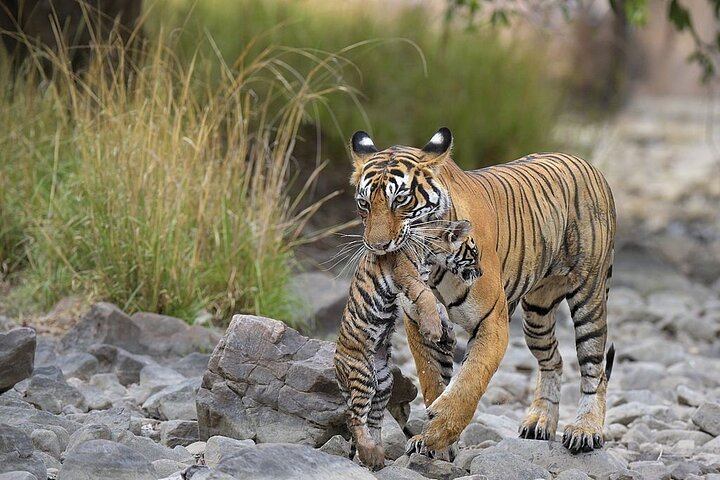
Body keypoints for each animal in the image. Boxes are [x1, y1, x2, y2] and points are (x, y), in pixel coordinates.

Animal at [334, 221, 482, 470]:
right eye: (474, 253)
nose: (481, 273)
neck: (432, 255)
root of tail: (336, 369)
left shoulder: (415, 285)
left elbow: (436, 305)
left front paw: (446, 332)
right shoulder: (408, 277)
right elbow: (428, 298)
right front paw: (434, 330)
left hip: (384, 381)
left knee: (373, 420)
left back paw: (377, 456)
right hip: (363, 375)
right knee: (353, 418)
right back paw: (369, 454)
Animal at [346, 127, 616, 459]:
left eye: (401, 199)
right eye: (364, 203)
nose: (377, 246)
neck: (433, 261)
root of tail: (584, 161)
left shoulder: (492, 322)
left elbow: (470, 379)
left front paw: (439, 431)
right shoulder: (420, 326)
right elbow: (432, 379)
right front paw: (433, 443)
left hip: (589, 297)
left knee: (594, 367)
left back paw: (585, 430)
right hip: (537, 314)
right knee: (553, 360)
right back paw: (539, 421)